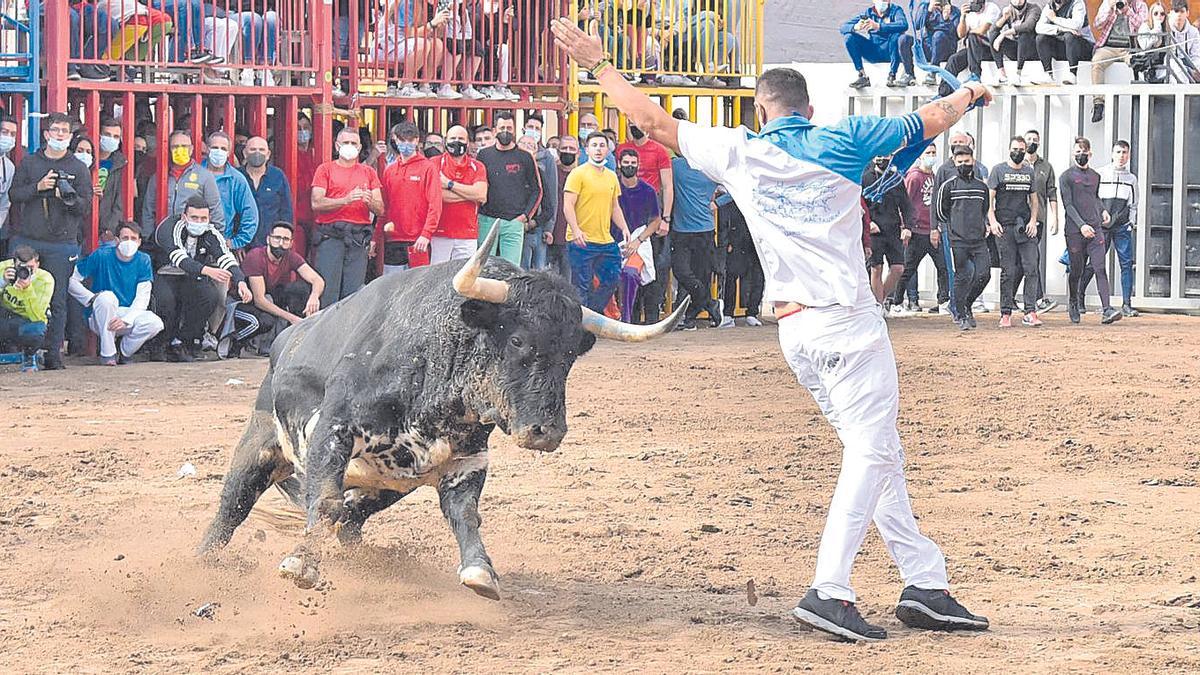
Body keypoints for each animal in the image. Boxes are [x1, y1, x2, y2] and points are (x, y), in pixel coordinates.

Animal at [195, 234, 686, 595]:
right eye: (518, 340)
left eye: (569, 355)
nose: (547, 432)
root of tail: (286, 340)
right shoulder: (333, 432)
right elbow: (326, 500)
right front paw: (300, 563)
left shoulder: (465, 462)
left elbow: (466, 518)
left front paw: (481, 572)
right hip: (260, 446)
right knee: (231, 510)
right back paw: (203, 562)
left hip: (384, 486)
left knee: (352, 520)